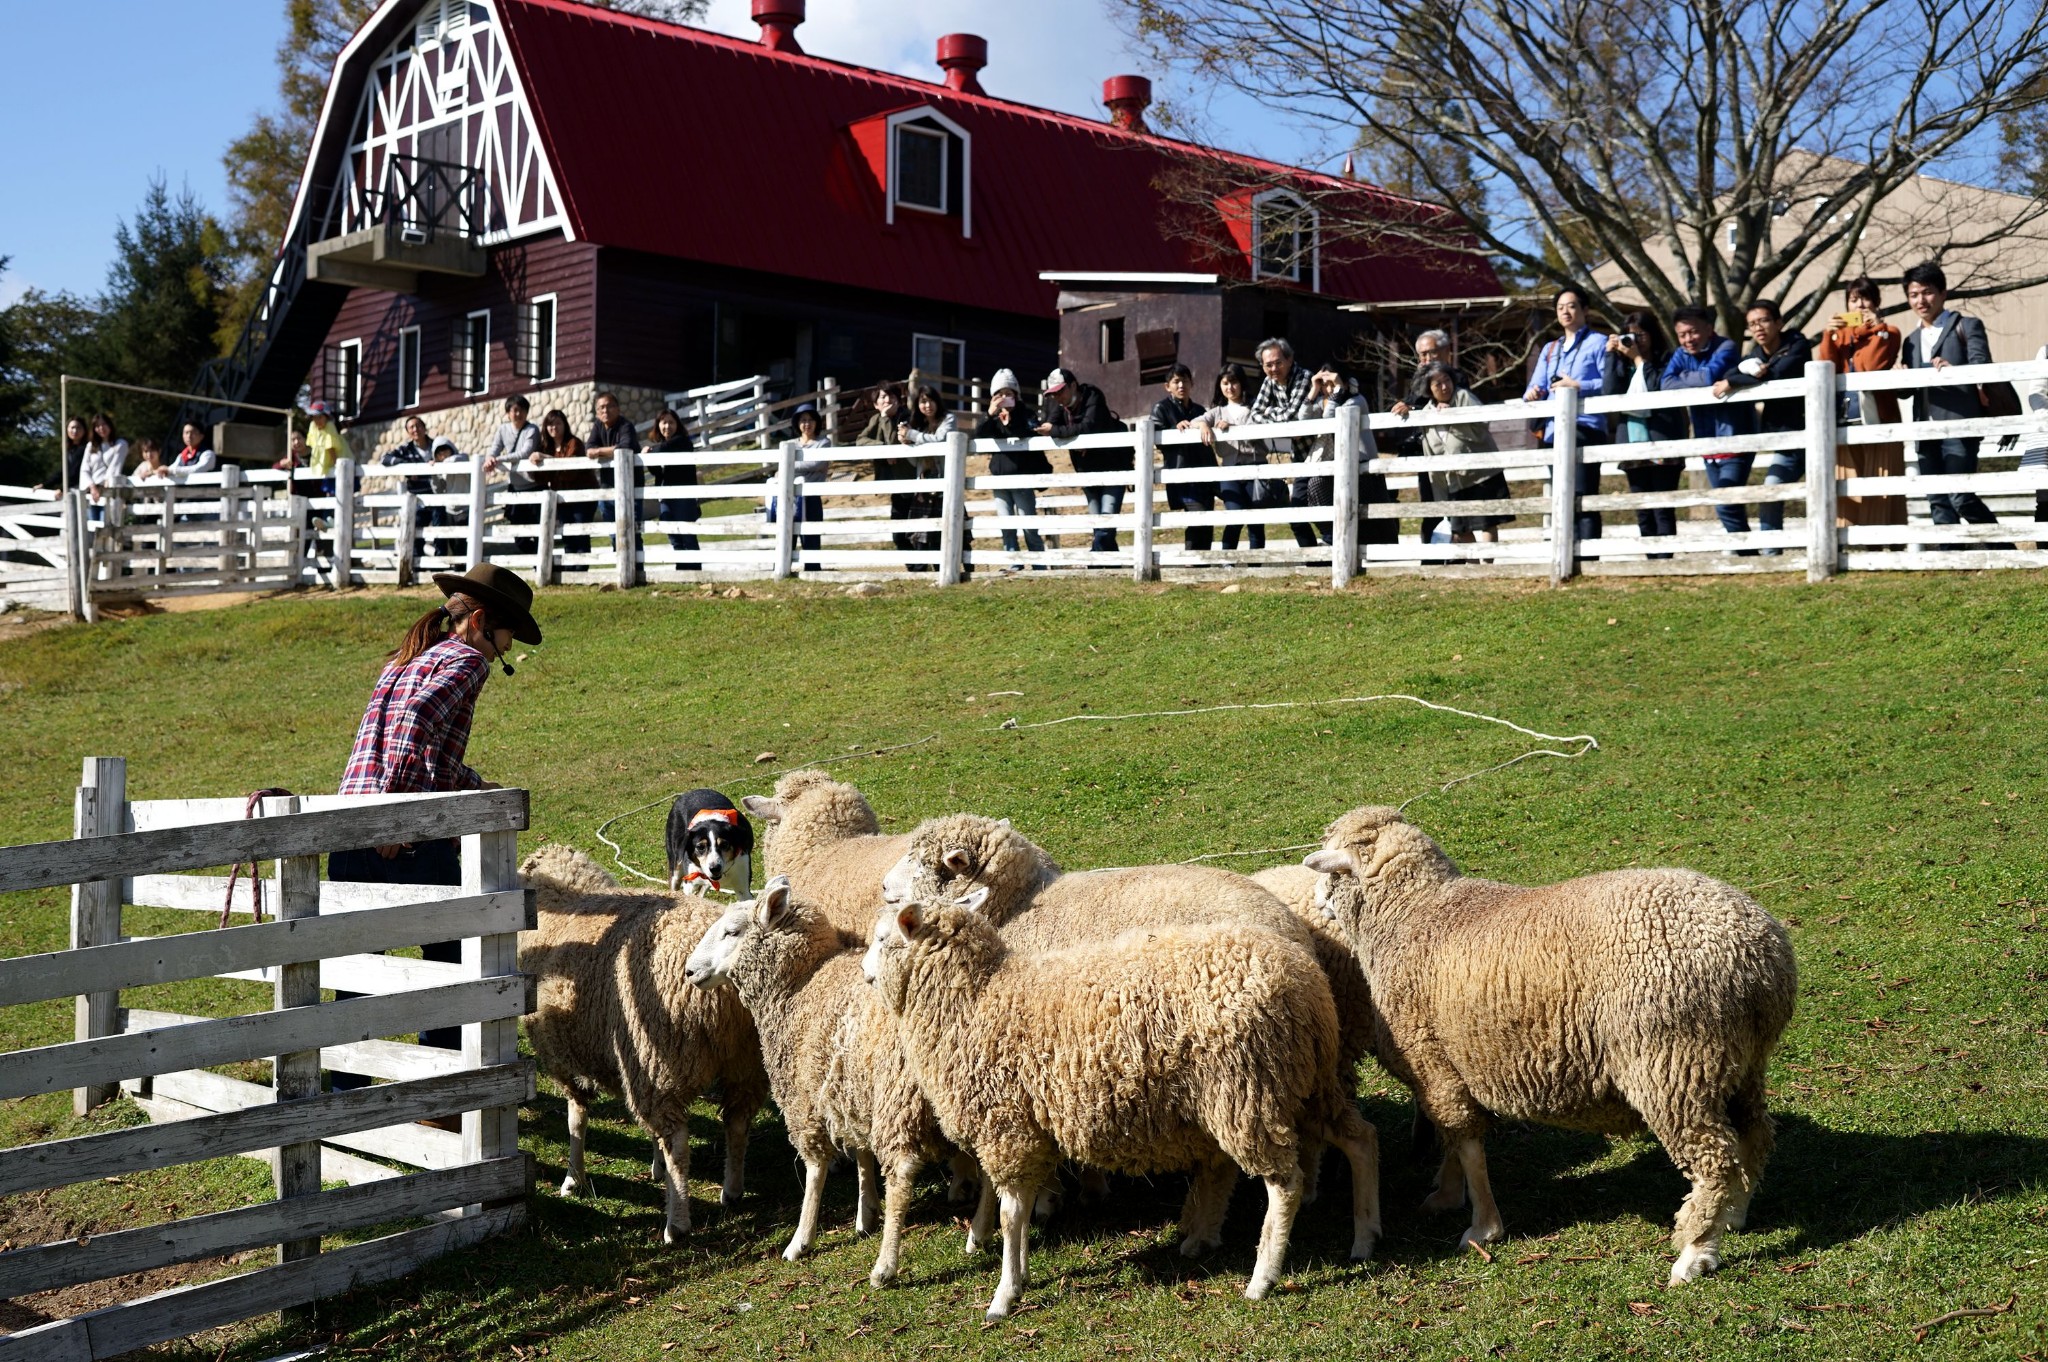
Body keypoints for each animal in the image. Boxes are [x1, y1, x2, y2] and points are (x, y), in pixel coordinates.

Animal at [516, 839, 770, 1245]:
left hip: (661, 1054)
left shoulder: (566, 1055)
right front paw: (654, 1165)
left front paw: (573, 1177)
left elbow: (576, 1119)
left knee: (679, 1142)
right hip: (742, 1060)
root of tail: (727, 990)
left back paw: (676, 1224)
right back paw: (731, 1190)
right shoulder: (626, 1054)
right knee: (737, 1122)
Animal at [679, 876, 991, 1278]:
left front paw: (801, 1238)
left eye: (731, 932)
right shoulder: (848, 1086)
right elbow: (861, 1150)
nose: (689, 971)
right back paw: (979, 1233)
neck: (800, 986)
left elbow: (815, 1169)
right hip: (964, 1093)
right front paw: (866, 1210)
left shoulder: (804, 1093)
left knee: (902, 1172)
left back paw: (886, 1265)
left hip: (900, 1097)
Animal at [864, 880, 1376, 1318]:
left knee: (1285, 1184)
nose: (864, 972)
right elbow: (1021, 1212)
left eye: (883, 938)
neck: (976, 997)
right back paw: (1365, 1236)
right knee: (1360, 1139)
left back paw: (1263, 1277)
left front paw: (1004, 1294)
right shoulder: (1024, 1128)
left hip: (1248, 1092)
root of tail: (1307, 982)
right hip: (1303, 1083)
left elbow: (1011, 1216)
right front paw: (1020, 1273)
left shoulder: (1007, 1128)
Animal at [1302, 806, 1802, 1286]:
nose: (1317, 902)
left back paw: (1696, 1252)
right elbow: (1453, 1138)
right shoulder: (1447, 1068)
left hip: (1673, 1063)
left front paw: (1483, 1226)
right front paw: (1446, 1194)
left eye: (1331, 872)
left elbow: (1467, 1143)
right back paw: (1734, 1215)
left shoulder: (1433, 1061)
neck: (1414, 912)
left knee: (1716, 1159)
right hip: (1737, 1064)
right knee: (1755, 1136)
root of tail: (1762, 957)